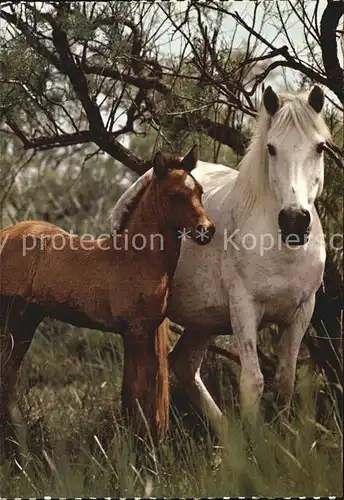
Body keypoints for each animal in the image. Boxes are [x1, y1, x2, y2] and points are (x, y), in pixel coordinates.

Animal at [112, 85, 330, 430]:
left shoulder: (301, 311)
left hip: (206, 320)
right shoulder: (244, 308)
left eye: (319, 147)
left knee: (183, 364)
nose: (294, 220)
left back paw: (226, 433)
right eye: (271, 148)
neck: (282, 249)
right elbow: (253, 381)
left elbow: (285, 381)